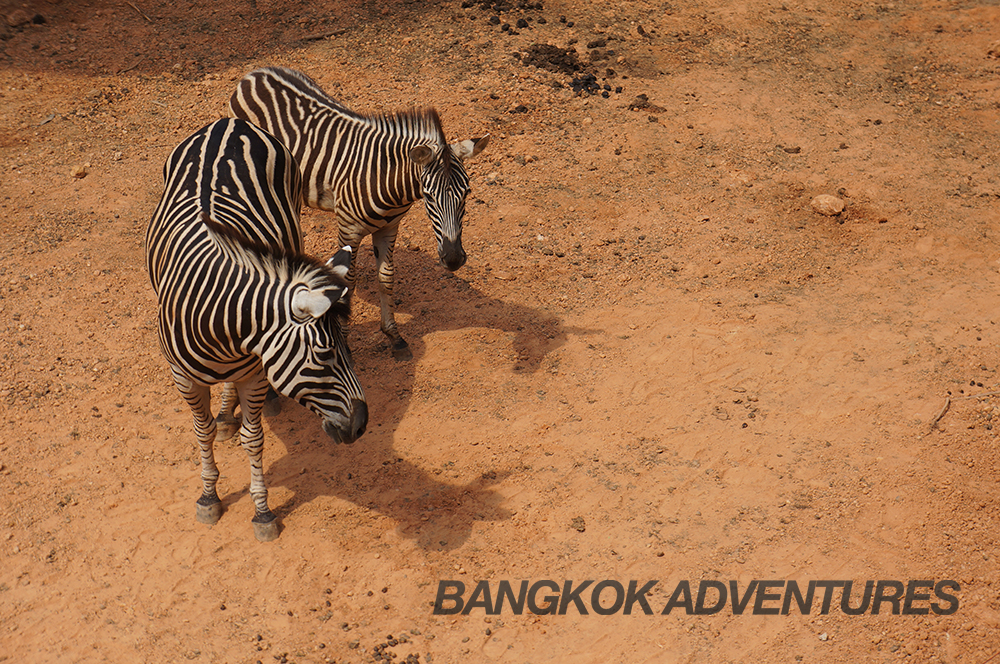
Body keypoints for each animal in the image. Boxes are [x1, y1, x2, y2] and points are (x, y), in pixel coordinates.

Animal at [146, 116, 370, 544]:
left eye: (348, 349)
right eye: (324, 355)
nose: (362, 424)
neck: (221, 324)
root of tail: (227, 122)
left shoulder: (253, 372)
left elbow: (254, 439)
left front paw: (262, 511)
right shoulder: (182, 377)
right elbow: (201, 433)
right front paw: (208, 495)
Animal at [228, 65, 492, 360]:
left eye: (467, 192)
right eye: (428, 195)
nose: (454, 259)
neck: (387, 179)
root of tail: (256, 72)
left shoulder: (389, 227)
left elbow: (386, 278)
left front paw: (394, 336)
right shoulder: (349, 231)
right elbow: (349, 282)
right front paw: (344, 340)